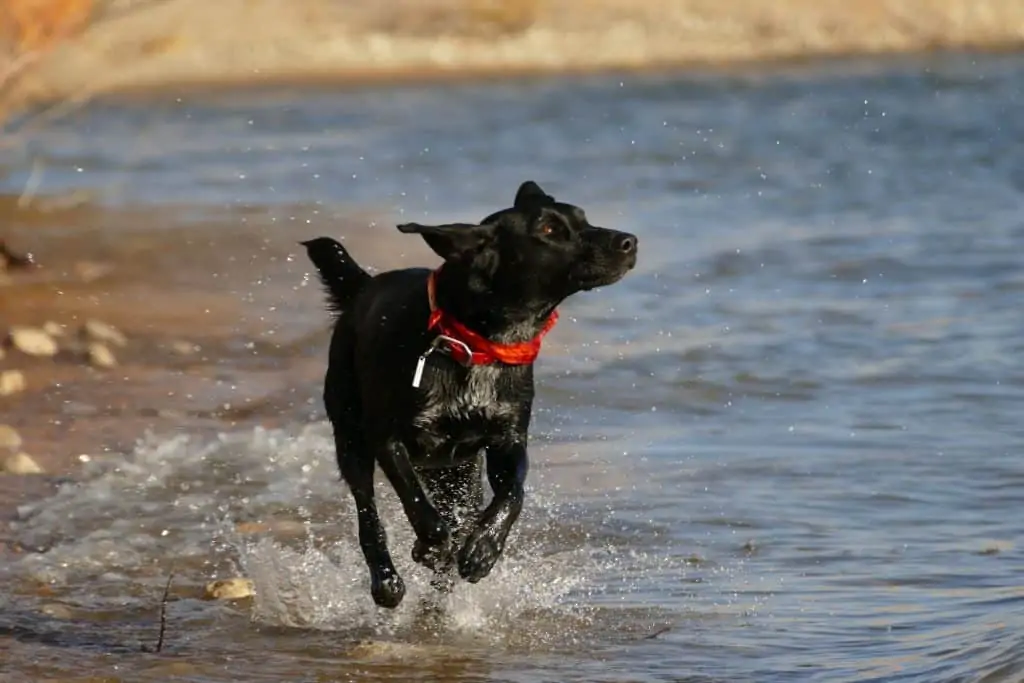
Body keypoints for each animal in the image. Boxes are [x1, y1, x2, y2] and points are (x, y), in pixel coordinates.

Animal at [303, 181, 634, 610]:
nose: (630, 241)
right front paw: (432, 544)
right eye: (548, 230)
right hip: (351, 436)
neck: (476, 344)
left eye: (583, 218)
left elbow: (513, 494)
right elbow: (417, 504)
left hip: (456, 472)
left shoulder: (507, 441)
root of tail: (364, 287)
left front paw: (483, 548)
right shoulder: (388, 439)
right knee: (367, 512)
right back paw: (387, 580)